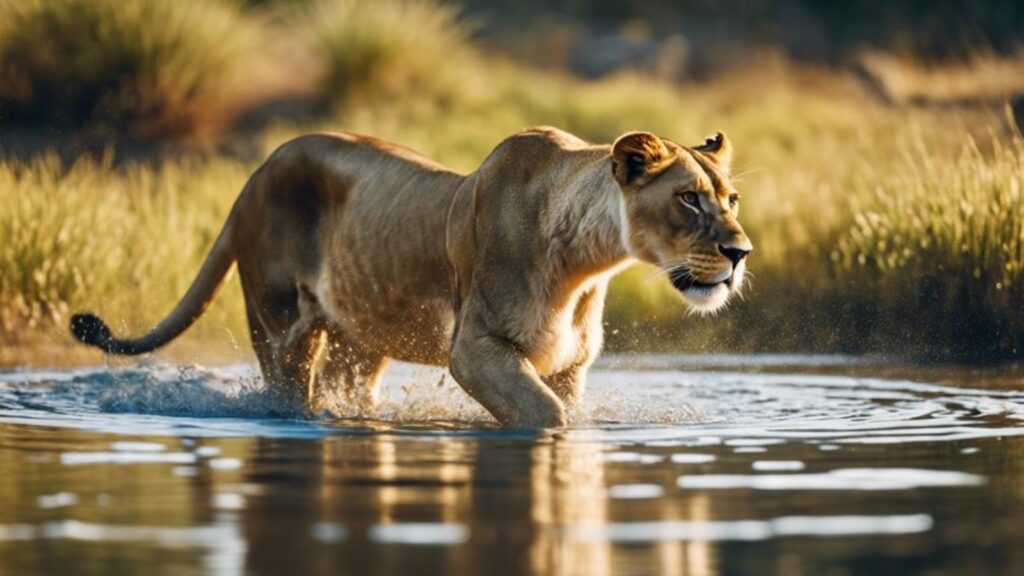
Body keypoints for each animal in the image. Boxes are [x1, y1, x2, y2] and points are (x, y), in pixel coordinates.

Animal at [70, 127, 752, 427]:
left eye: (732, 198)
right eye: (688, 199)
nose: (741, 251)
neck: (588, 263)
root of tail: (256, 172)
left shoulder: (570, 365)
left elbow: (562, 406)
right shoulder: (475, 350)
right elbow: (548, 415)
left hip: (360, 340)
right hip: (278, 324)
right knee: (288, 387)